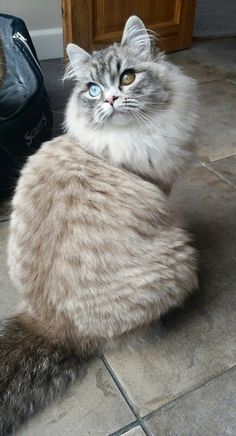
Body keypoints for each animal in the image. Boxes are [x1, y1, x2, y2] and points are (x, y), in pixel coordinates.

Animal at [0, 15, 197, 434]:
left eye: (127, 78)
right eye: (93, 90)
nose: (109, 100)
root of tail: (50, 326)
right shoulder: (160, 186)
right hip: (180, 257)